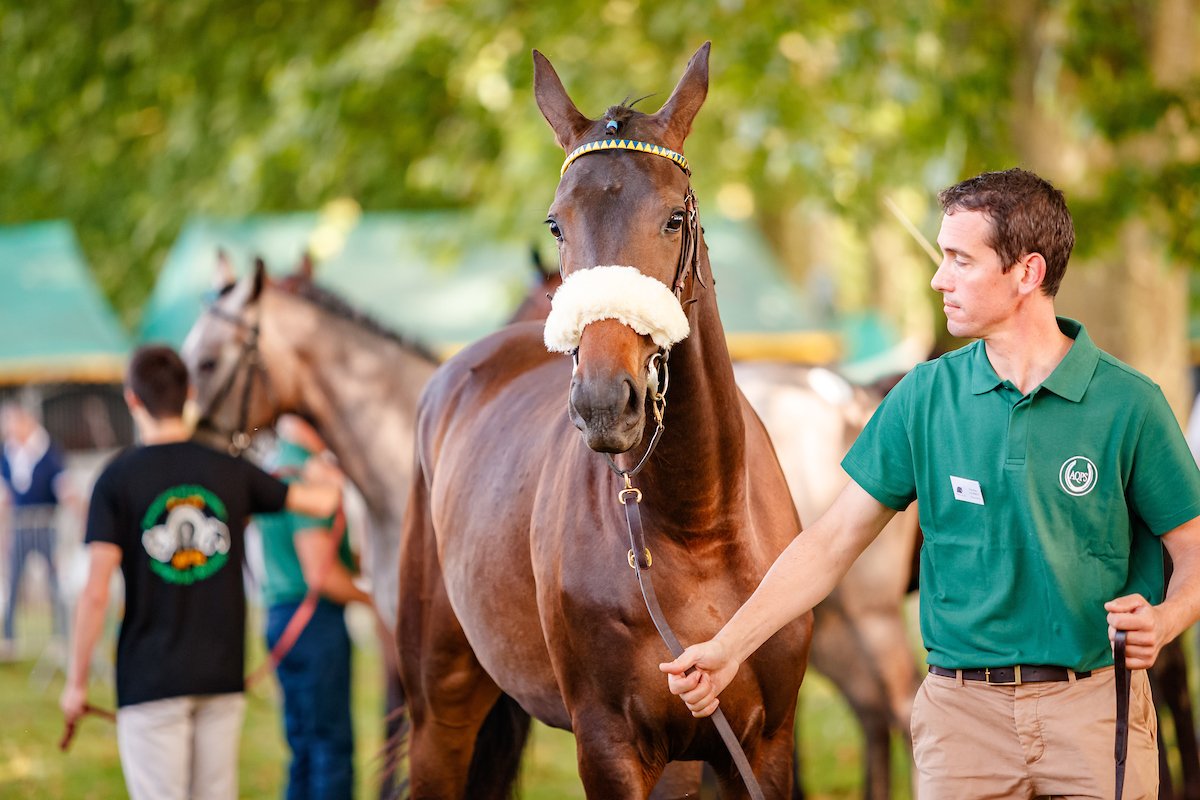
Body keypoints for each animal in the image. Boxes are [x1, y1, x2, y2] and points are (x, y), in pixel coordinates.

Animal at [397, 43, 811, 798]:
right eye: (557, 223)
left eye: (674, 217)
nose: (601, 401)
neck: (700, 528)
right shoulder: (609, 745)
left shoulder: (762, 747)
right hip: (439, 710)